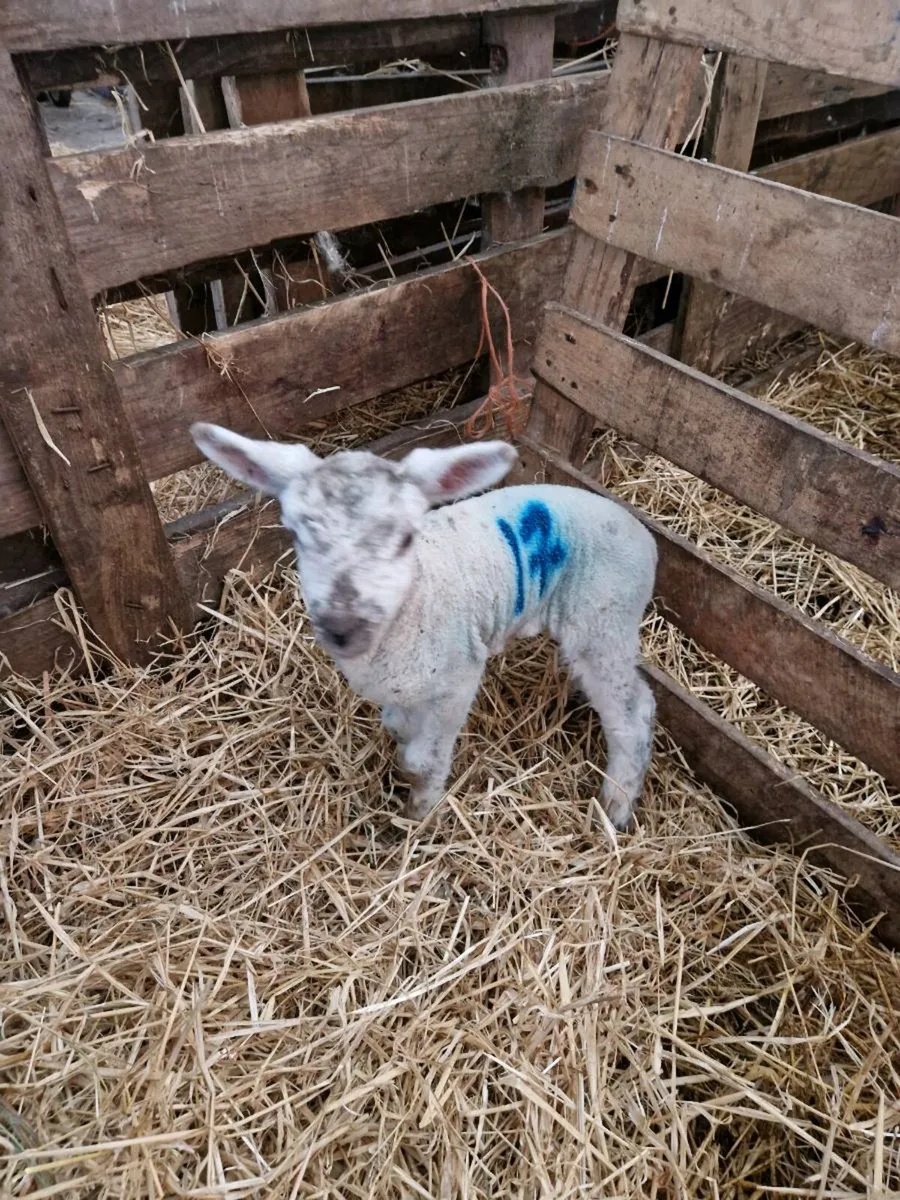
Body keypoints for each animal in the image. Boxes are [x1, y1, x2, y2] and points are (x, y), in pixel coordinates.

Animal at [191, 423, 658, 828]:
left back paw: (616, 806)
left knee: (632, 714)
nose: (342, 628)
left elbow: (423, 761)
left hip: (604, 623)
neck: (416, 597)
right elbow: (398, 728)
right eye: (297, 535)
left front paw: (418, 816)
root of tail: (646, 536)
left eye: (404, 539)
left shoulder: (457, 681)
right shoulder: (403, 688)